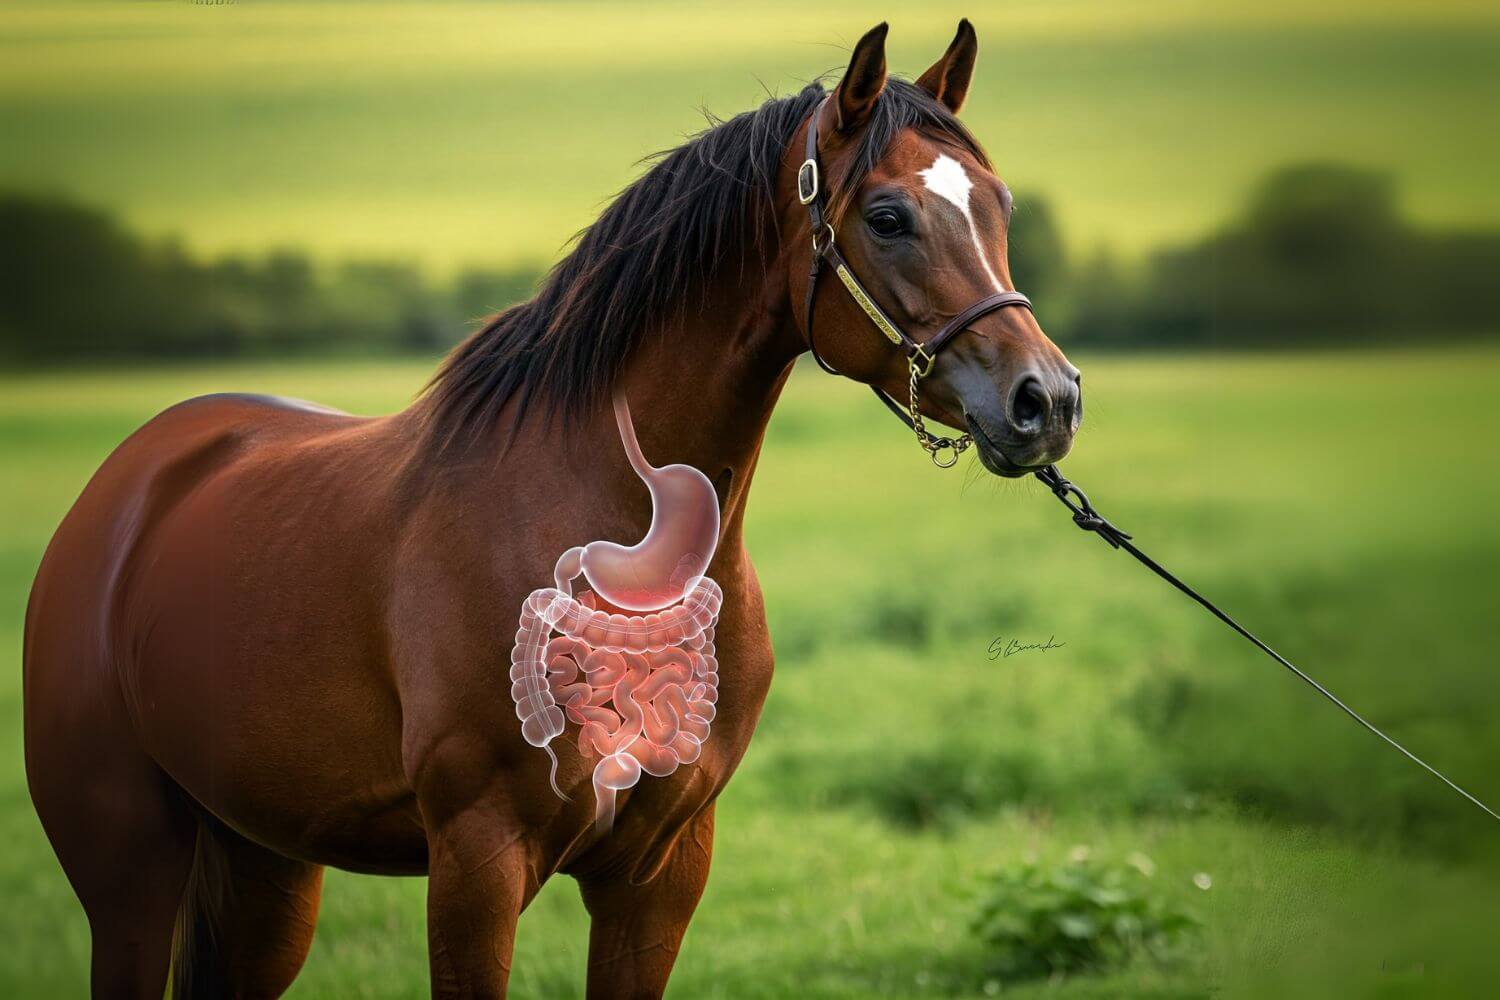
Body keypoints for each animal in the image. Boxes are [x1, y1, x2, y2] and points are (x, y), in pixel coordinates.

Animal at [24, 20, 1081, 998]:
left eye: (999, 203)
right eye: (890, 216)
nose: (1047, 400)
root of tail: (125, 493)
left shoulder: (660, 872)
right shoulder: (477, 863)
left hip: (264, 864)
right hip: (131, 869)